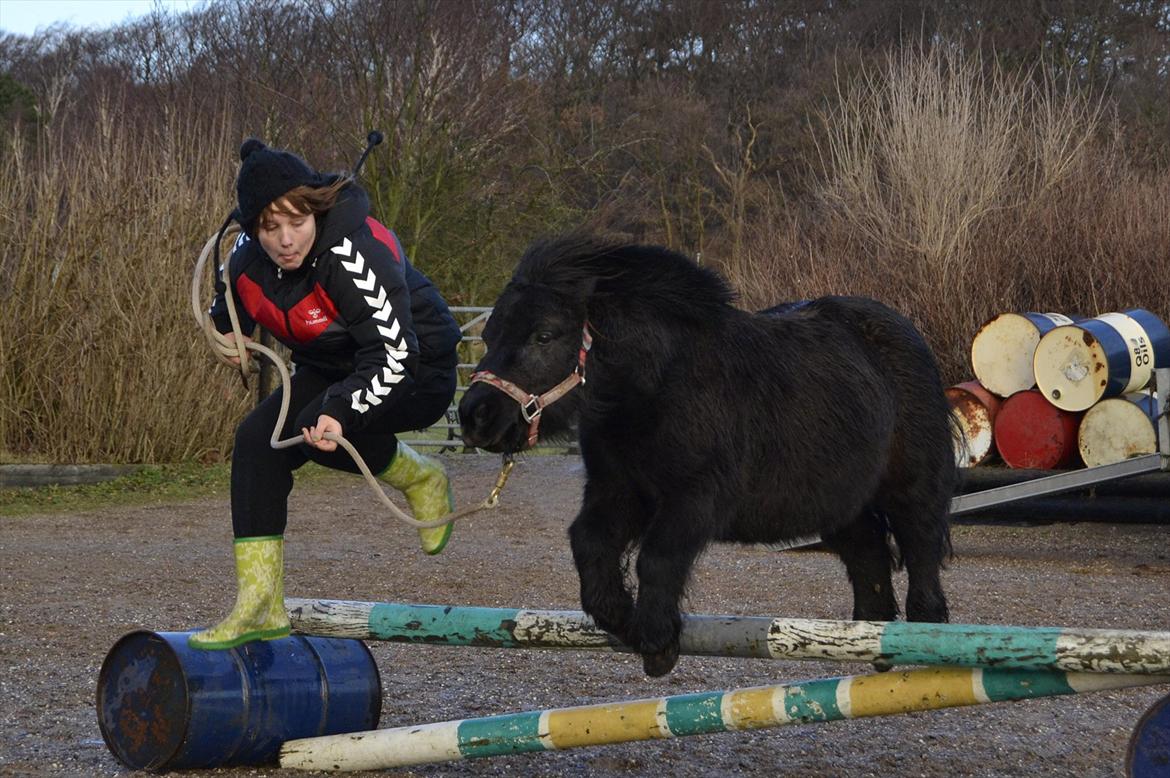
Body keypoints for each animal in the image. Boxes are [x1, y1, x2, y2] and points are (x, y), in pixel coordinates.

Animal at [458, 235, 959, 673]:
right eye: (491, 334)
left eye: (544, 335)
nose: (475, 416)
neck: (660, 385)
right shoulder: (617, 492)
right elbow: (589, 545)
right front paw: (624, 620)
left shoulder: (696, 498)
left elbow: (657, 558)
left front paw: (657, 642)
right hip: (841, 506)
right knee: (870, 558)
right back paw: (869, 642)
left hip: (913, 489)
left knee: (921, 553)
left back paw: (927, 643)